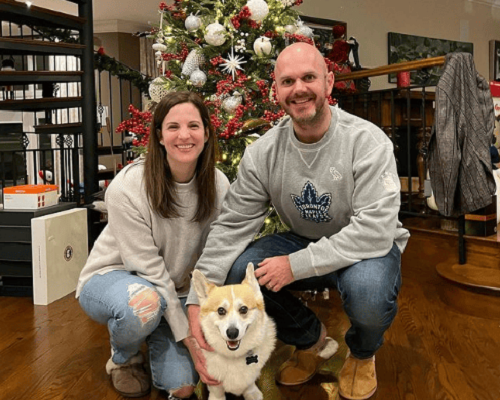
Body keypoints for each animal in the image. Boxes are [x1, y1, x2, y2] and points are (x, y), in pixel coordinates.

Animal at [192, 262, 278, 400]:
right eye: (221, 310)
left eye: (243, 309)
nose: (232, 333)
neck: (234, 356)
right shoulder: (213, 381)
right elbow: (217, 393)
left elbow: (249, 383)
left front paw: (251, 392)